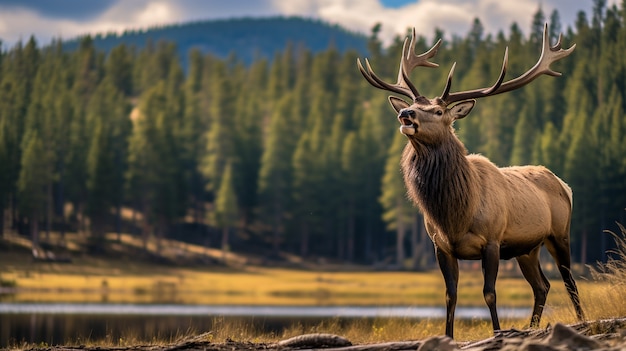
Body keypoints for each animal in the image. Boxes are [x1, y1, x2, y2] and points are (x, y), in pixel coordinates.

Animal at [356, 24, 584, 338]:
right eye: (413, 104)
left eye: (439, 111)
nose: (405, 113)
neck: (456, 215)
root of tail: (565, 185)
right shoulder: (440, 246)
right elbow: (450, 296)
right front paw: (448, 336)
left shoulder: (492, 241)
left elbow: (490, 293)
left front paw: (498, 333)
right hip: (528, 248)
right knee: (542, 285)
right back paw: (531, 327)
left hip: (559, 234)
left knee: (570, 282)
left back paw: (580, 322)